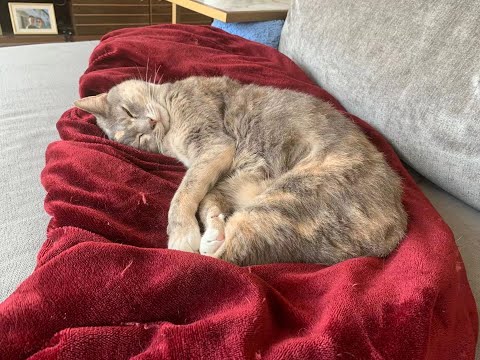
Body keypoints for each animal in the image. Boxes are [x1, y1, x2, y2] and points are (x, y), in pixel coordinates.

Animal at [74, 76, 404, 266]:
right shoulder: (212, 159)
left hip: (289, 196)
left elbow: (182, 195)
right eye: (138, 138)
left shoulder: (213, 146)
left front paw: (180, 234)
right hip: (245, 184)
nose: (150, 125)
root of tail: (396, 231)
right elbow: (193, 194)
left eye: (129, 112)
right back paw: (212, 235)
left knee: (234, 254)